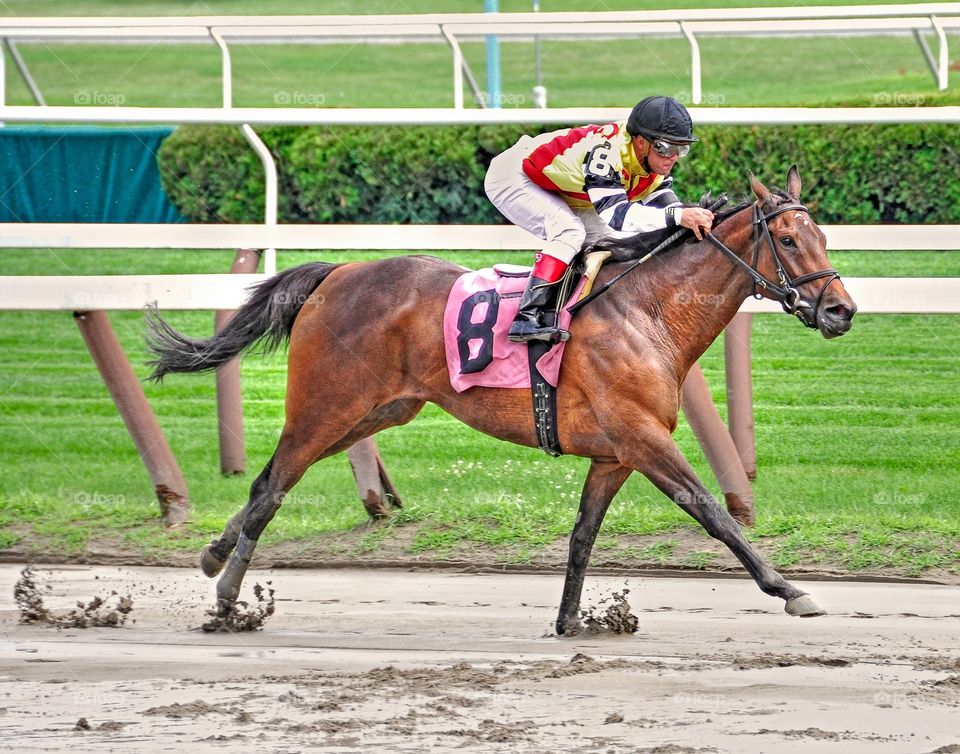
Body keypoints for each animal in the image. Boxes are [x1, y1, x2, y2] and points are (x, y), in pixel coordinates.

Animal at [148, 167, 856, 632]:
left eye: (823, 236)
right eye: (788, 240)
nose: (841, 311)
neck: (646, 312)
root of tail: (338, 271)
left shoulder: (614, 454)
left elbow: (583, 533)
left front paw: (572, 621)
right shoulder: (641, 437)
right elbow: (710, 510)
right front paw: (790, 589)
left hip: (372, 411)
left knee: (272, 480)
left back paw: (214, 555)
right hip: (326, 406)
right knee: (272, 486)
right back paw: (226, 599)